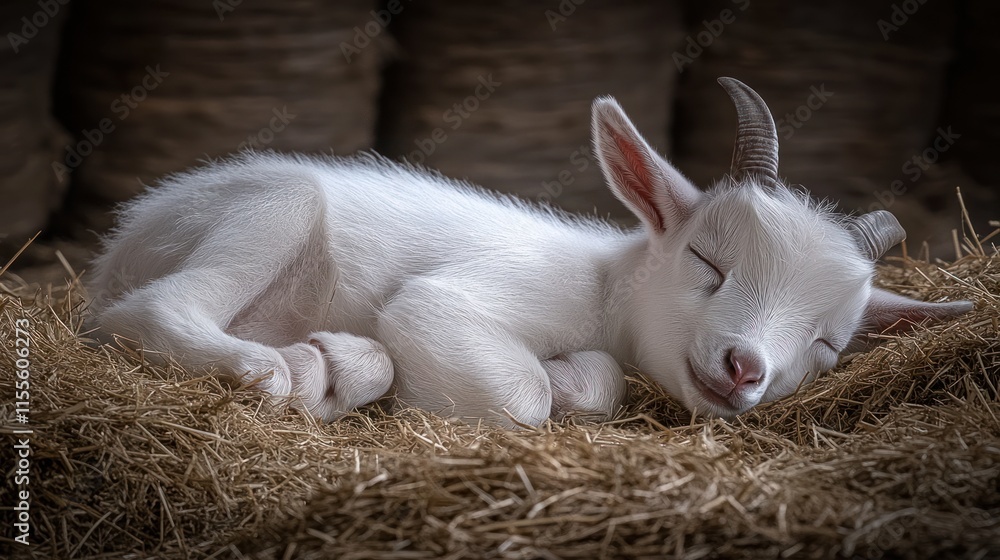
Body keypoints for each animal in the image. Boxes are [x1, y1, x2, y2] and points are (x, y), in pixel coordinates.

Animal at [88, 78, 973, 427]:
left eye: (827, 345)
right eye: (708, 262)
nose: (744, 368)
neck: (608, 285)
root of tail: (118, 248)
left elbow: (597, 386)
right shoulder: (472, 298)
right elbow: (522, 396)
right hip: (272, 211)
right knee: (155, 309)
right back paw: (276, 367)